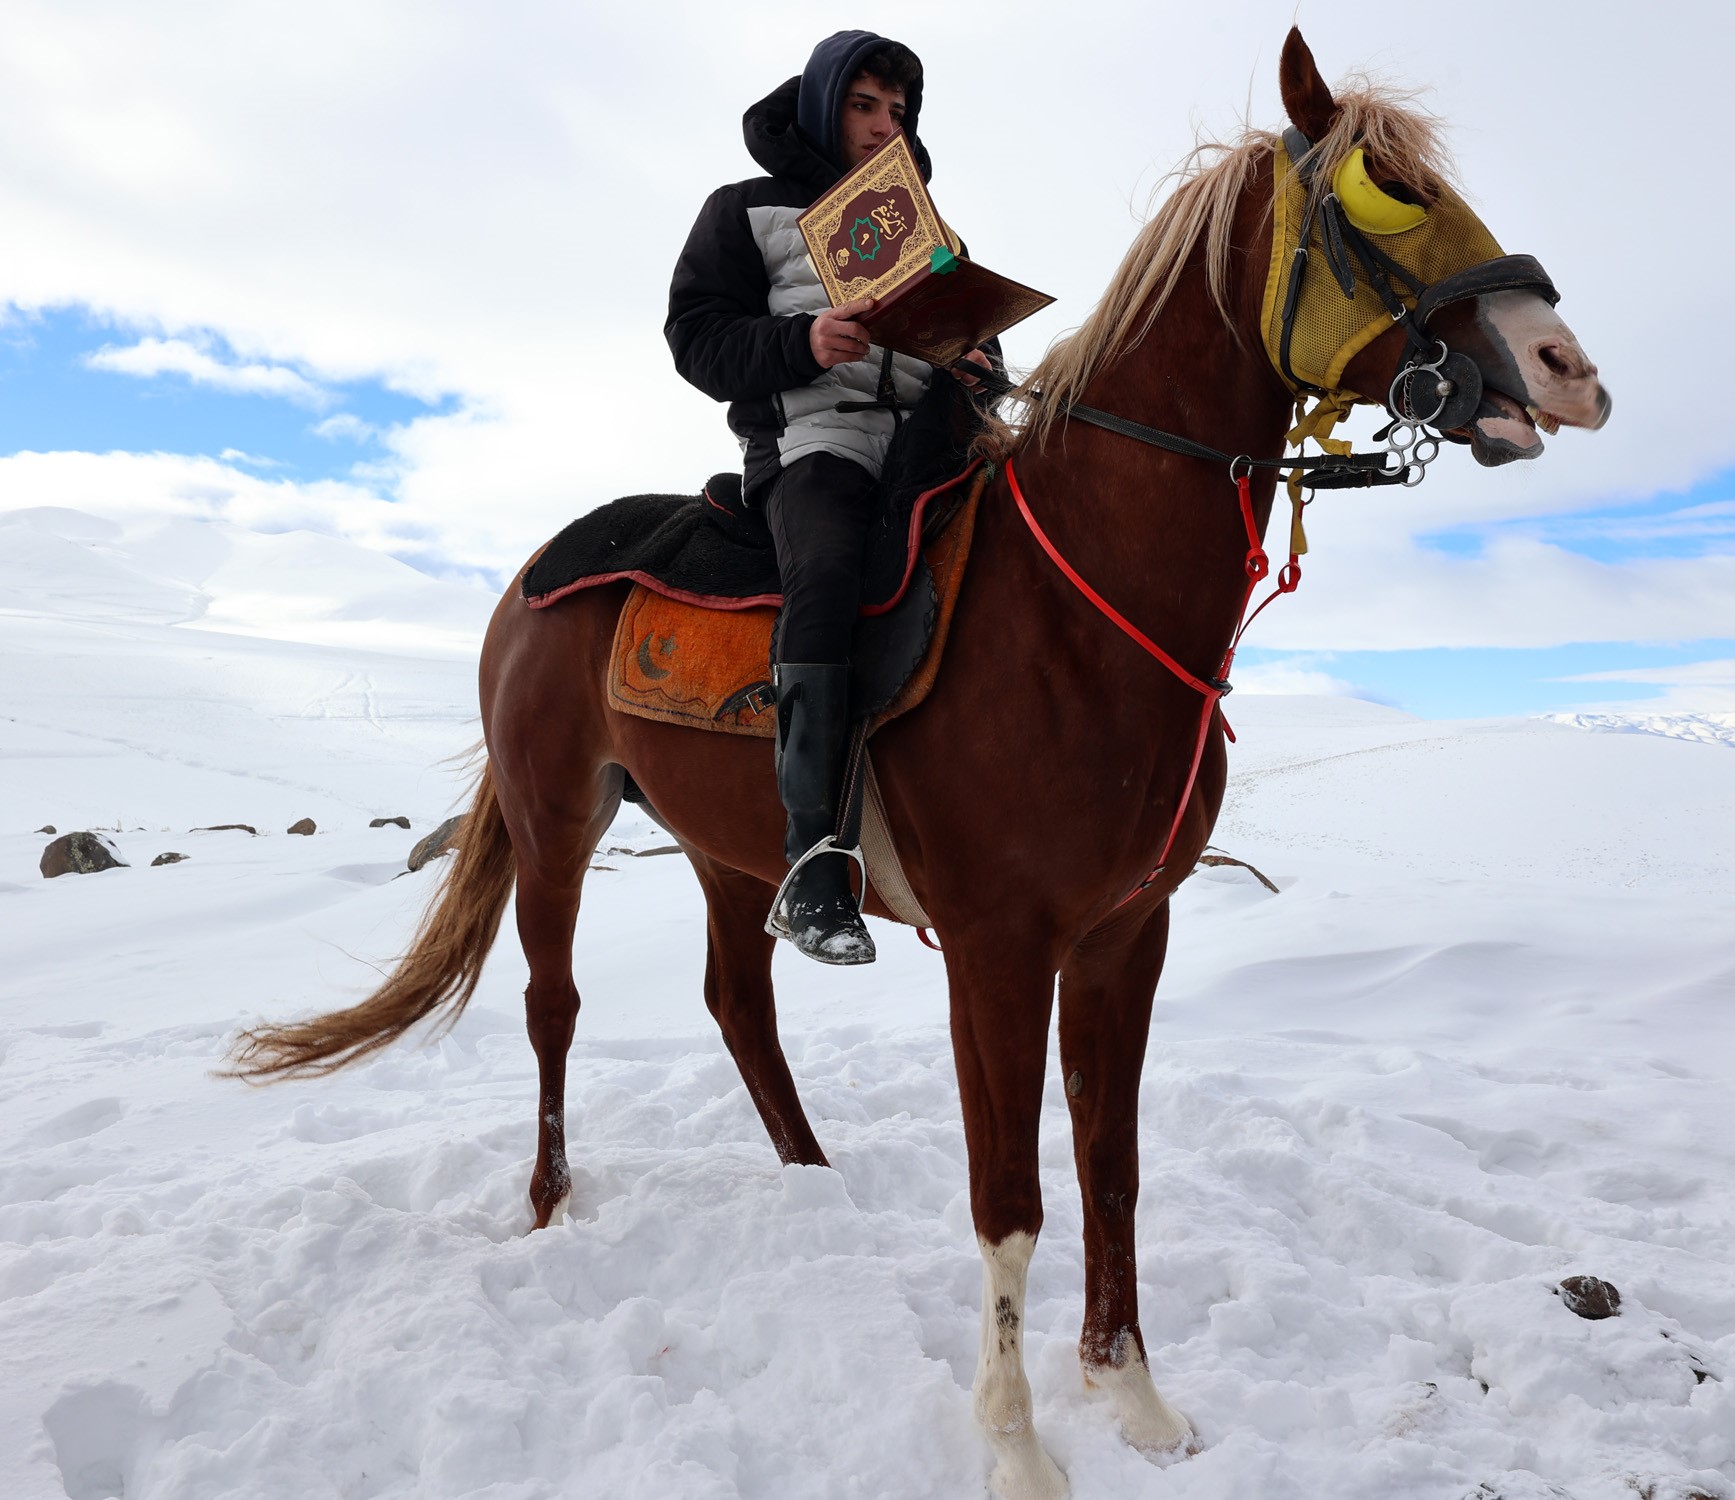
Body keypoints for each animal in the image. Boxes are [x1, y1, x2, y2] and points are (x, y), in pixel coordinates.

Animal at [234, 29, 1610, 1491]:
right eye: (1384, 194)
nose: (1565, 368)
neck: (1078, 605)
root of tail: (533, 575)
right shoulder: (998, 949)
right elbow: (1008, 1199)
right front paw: (1016, 1444)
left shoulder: (1123, 936)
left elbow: (1110, 1167)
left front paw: (1130, 1398)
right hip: (561, 821)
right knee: (554, 1004)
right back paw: (551, 1206)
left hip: (735, 848)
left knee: (739, 1001)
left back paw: (811, 1181)